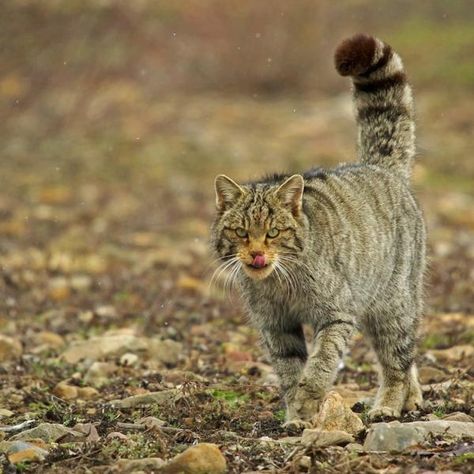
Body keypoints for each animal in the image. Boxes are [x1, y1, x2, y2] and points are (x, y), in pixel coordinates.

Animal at [209, 34, 424, 426]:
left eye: (274, 232)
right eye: (241, 232)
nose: (257, 254)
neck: (280, 283)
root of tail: (379, 166)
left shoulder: (337, 313)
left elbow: (321, 363)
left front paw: (309, 401)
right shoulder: (276, 326)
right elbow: (290, 370)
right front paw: (297, 414)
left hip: (393, 304)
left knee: (396, 362)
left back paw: (388, 405)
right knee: (406, 358)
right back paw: (411, 399)